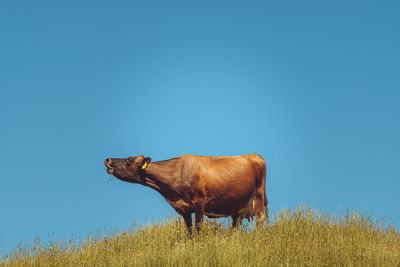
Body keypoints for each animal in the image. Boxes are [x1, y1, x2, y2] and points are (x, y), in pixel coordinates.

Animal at [104, 154, 268, 233]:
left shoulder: (200, 201)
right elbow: (189, 230)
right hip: (238, 208)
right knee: (235, 225)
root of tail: (254, 155)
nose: (108, 159)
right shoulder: (184, 208)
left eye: (128, 161)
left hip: (259, 195)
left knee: (260, 219)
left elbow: (198, 226)